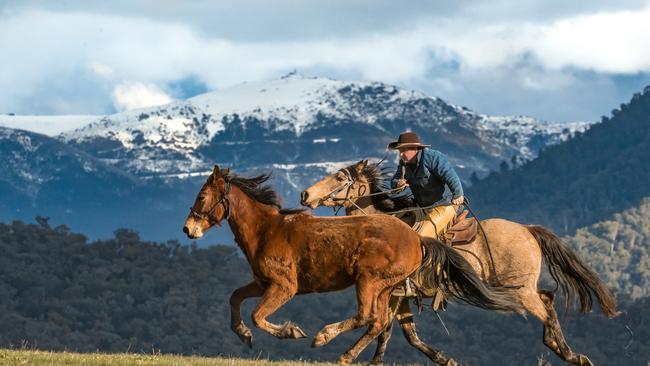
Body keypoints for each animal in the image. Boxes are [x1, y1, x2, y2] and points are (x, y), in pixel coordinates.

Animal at [181, 165, 520, 364]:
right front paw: (243, 334)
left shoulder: (283, 287)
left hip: (370, 281)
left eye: (201, 197)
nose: (187, 229)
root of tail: (417, 239)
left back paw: (326, 338)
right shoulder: (262, 283)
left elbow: (258, 315)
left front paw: (292, 332)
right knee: (379, 322)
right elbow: (236, 298)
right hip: (386, 288)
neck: (268, 230)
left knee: (368, 316)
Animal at [298, 159, 616, 366]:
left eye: (340, 179)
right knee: (548, 299)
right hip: (519, 287)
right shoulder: (400, 293)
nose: (305, 194)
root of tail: (528, 229)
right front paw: (442, 358)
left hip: (519, 289)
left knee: (545, 309)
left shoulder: (391, 291)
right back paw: (565, 351)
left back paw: (568, 353)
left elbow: (380, 325)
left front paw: (336, 347)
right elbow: (402, 332)